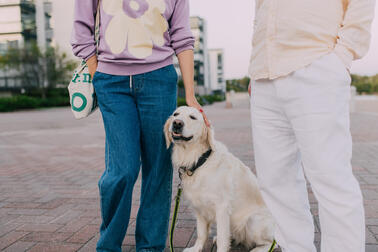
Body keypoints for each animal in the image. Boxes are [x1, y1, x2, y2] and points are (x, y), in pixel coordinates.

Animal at [164, 106, 276, 252]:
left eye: (193, 117)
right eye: (175, 114)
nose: (177, 123)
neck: (198, 160)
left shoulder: (222, 207)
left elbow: (223, 237)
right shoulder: (198, 207)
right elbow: (201, 233)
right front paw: (196, 248)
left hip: (253, 220)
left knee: (272, 243)